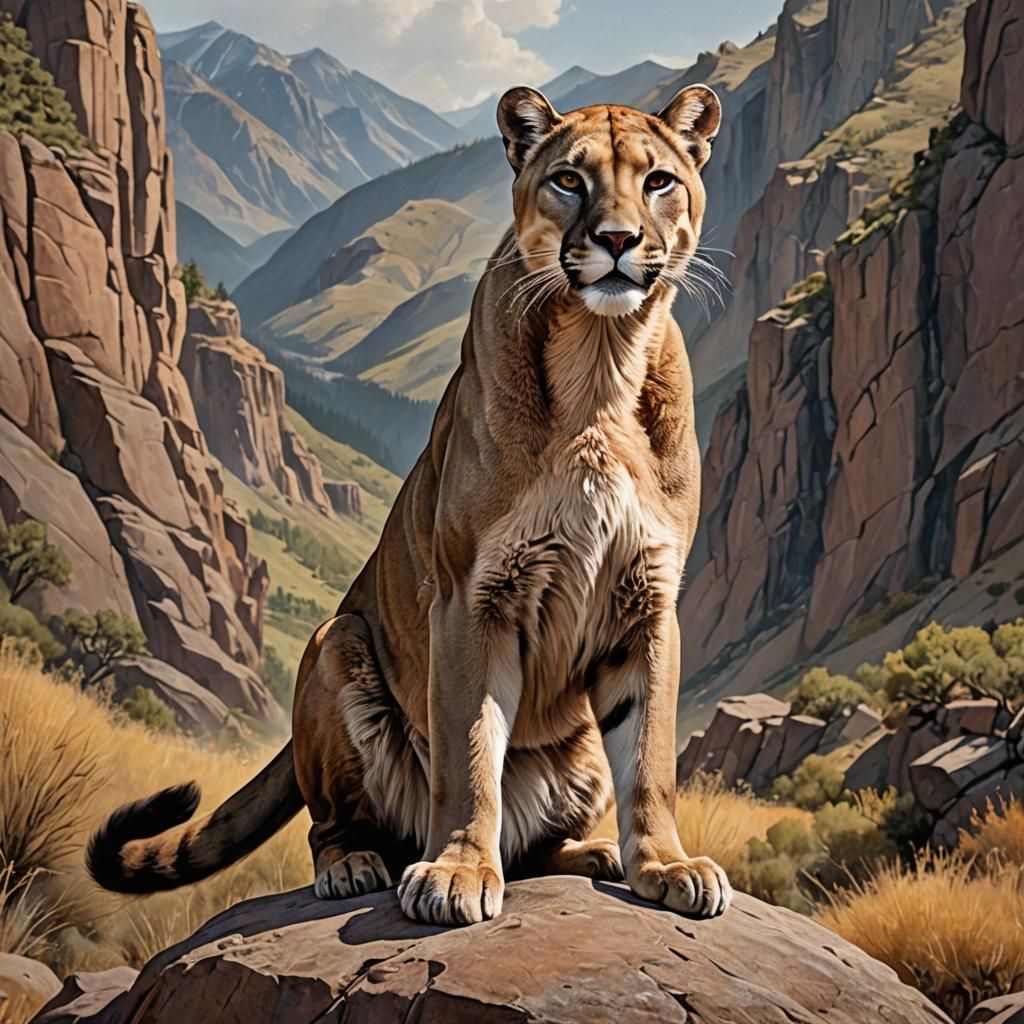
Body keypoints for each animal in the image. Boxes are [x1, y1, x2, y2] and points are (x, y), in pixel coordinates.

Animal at [88, 82, 733, 926]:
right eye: (569, 179)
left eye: (658, 181)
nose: (619, 239)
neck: (600, 361)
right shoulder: (472, 594)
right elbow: (469, 751)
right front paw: (456, 872)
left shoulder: (648, 599)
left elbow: (652, 754)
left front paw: (666, 864)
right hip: (336, 644)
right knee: (334, 822)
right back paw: (355, 866)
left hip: (575, 746)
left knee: (536, 843)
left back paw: (589, 852)